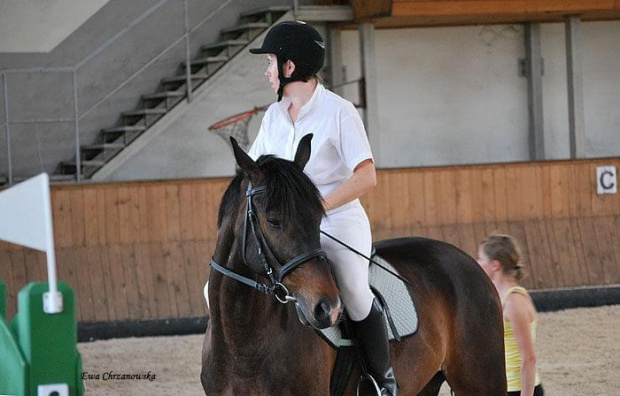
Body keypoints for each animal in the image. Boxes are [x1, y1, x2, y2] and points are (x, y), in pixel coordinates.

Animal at [201, 135, 506, 394]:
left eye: (318, 217)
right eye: (273, 220)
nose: (327, 309)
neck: (241, 340)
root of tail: (466, 260)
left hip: (481, 380)